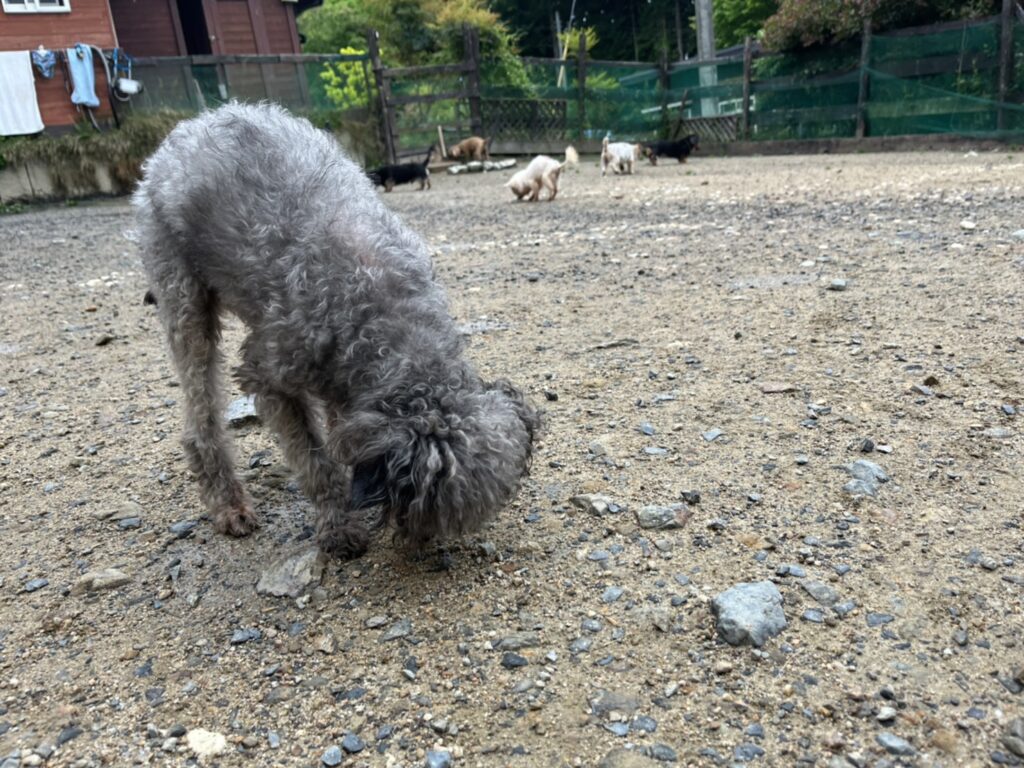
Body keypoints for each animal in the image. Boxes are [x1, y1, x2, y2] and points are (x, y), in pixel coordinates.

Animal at [134, 103, 539, 558]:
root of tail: (191, 125)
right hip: (183, 298)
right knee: (200, 409)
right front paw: (339, 523)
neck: (384, 315)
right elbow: (313, 461)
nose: (419, 548)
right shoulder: (270, 377)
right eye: (417, 509)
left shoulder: (343, 380)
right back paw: (229, 504)